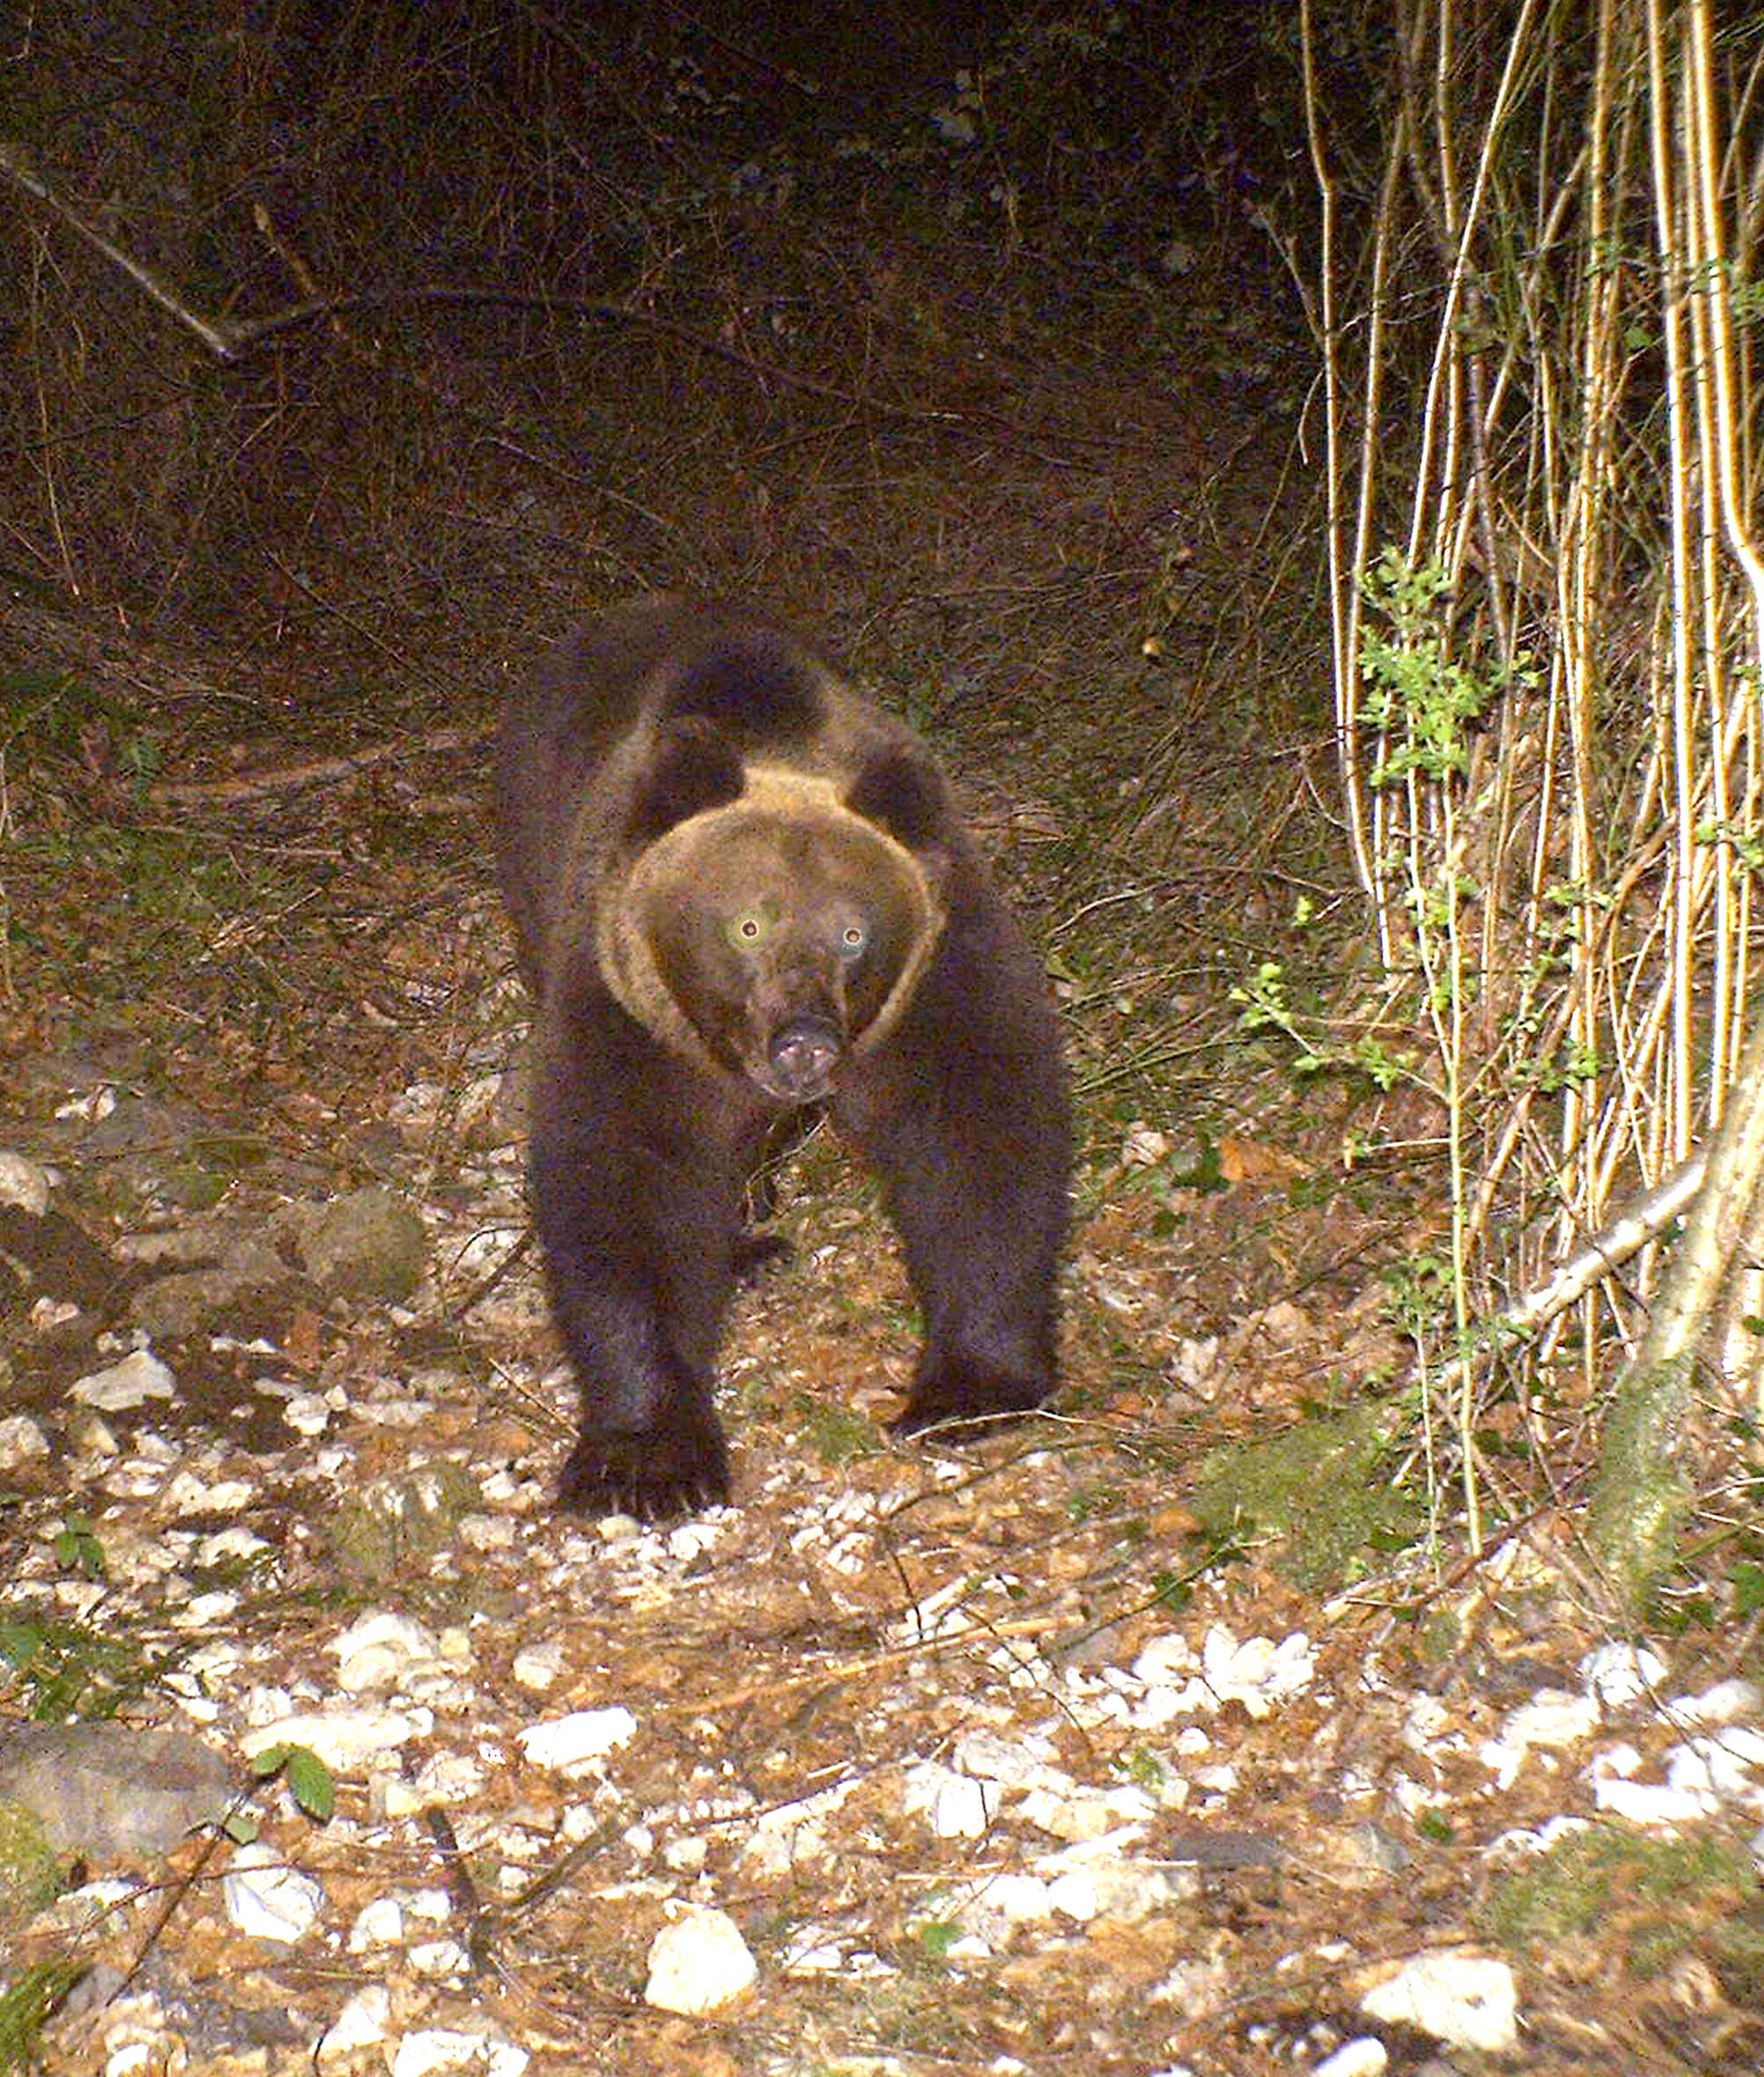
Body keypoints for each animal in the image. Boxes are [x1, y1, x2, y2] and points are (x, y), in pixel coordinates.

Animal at [495, 594, 1070, 1519]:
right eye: (746, 924)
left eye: (854, 932)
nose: (803, 1040)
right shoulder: (628, 1011)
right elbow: (626, 1185)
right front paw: (646, 1457)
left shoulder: (933, 983)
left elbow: (975, 1141)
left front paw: (968, 1387)